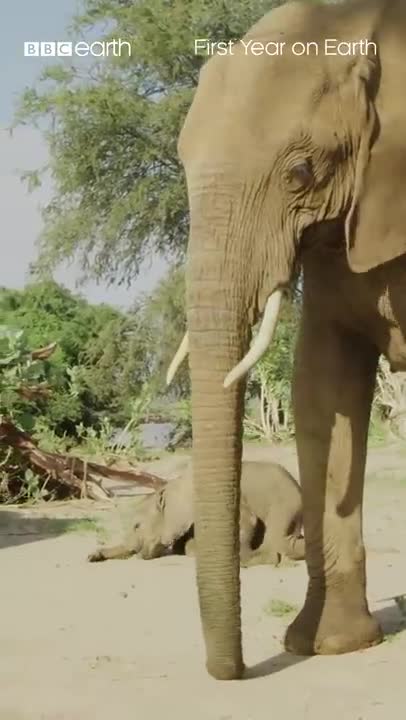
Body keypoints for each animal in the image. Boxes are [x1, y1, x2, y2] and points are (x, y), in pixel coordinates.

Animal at [87, 461, 305, 565]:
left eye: (137, 526)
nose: (91, 556)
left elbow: (247, 521)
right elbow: (180, 545)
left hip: (282, 506)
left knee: (278, 541)